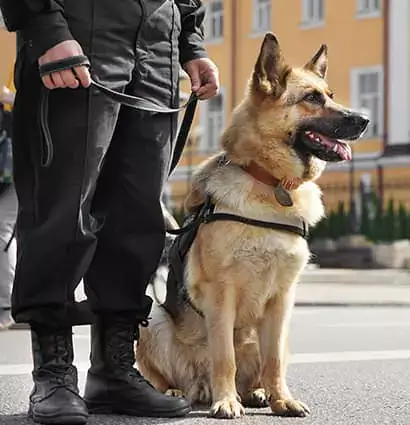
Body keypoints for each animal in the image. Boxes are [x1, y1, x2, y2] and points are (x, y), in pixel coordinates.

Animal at [136, 33, 370, 418]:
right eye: (312, 98)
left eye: (330, 94)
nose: (365, 119)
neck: (270, 183)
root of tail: (198, 388)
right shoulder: (221, 295)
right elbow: (224, 357)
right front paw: (226, 401)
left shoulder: (282, 300)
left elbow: (273, 361)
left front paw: (281, 400)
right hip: (153, 318)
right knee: (166, 374)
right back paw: (175, 392)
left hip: (283, 333)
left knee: (262, 367)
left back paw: (257, 393)